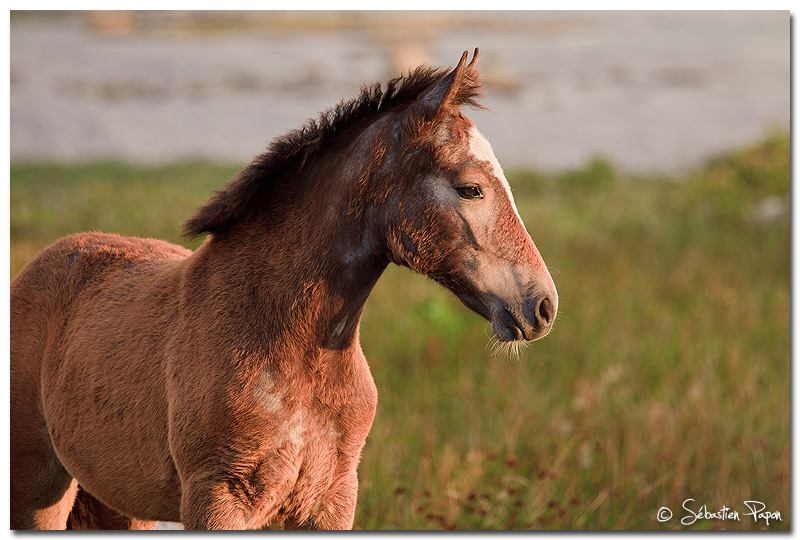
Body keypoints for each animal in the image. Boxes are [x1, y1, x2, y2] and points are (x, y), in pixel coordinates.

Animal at [9, 48, 556, 528]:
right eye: (470, 188)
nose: (544, 306)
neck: (292, 348)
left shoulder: (333, 498)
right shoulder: (216, 499)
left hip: (119, 502)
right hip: (38, 489)